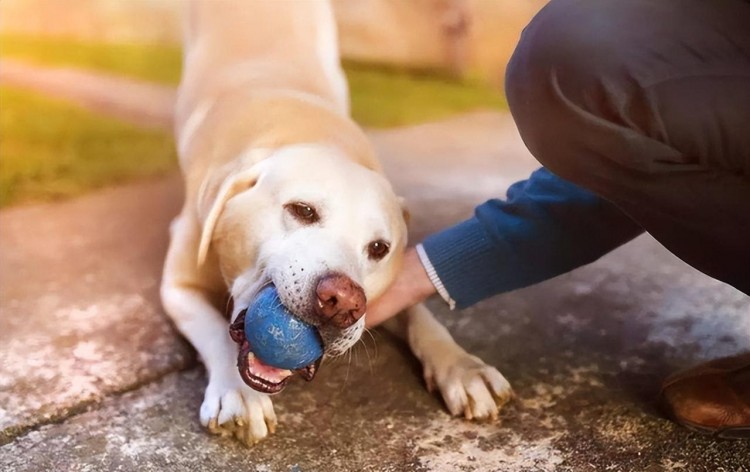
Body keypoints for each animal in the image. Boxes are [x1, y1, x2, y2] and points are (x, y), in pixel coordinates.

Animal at [163, 0, 516, 446]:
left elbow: (421, 315)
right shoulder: (178, 285)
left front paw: (462, 366)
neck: (306, 129)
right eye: (302, 210)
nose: (344, 302)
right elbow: (212, 330)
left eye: (379, 248)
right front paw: (237, 392)